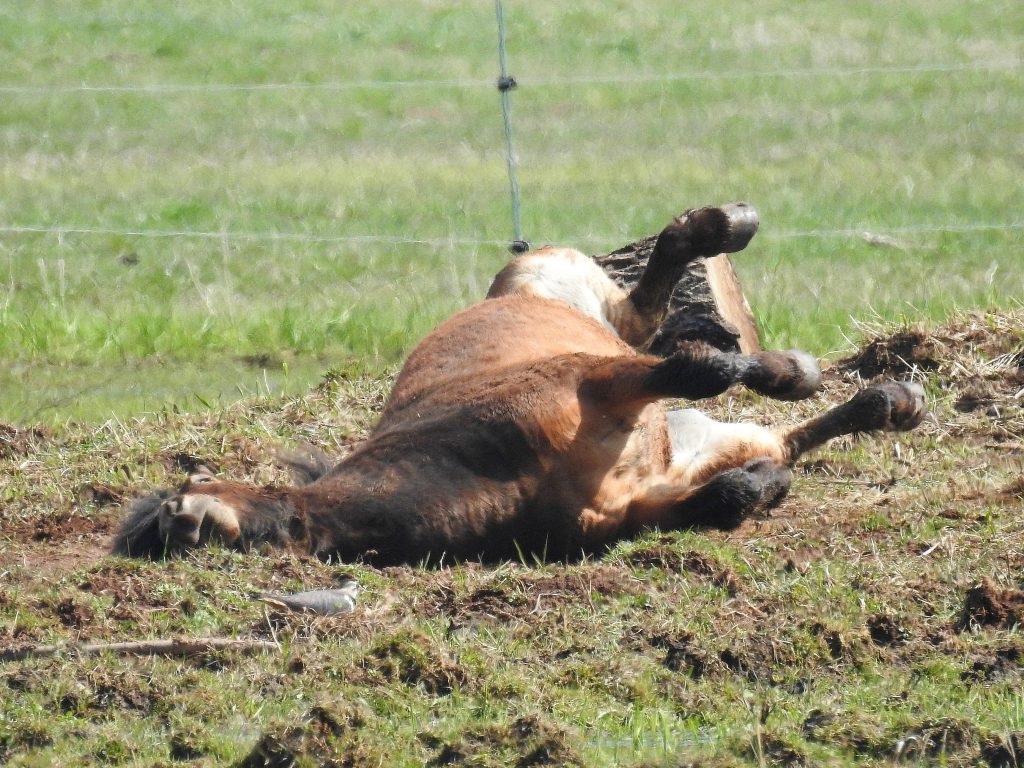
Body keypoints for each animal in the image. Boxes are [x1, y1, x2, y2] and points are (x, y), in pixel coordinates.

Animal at [112, 204, 929, 565]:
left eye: (182, 516)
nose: (178, 532)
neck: (477, 465)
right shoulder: (642, 502)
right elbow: (730, 494)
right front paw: (764, 488)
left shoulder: (593, 378)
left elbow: (701, 366)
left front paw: (771, 369)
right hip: (711, 433)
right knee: (784, 435)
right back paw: (888, 401)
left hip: (573, 297)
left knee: (653, 301)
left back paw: (730, 238)